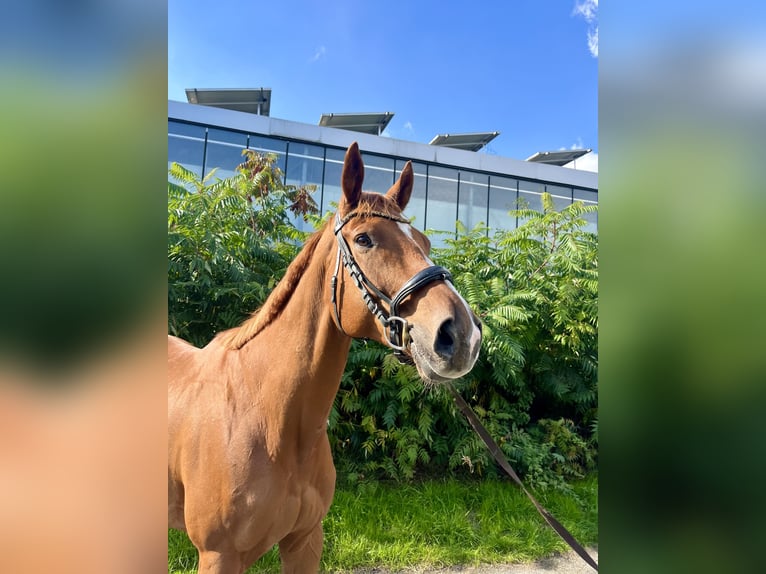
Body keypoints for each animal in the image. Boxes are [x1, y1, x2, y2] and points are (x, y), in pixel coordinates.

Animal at [170, 142, 480, 572]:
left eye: (424, 242)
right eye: (364, 239)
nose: (462, 335)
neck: (269, 417)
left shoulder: (305, 540)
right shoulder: (219, 556)